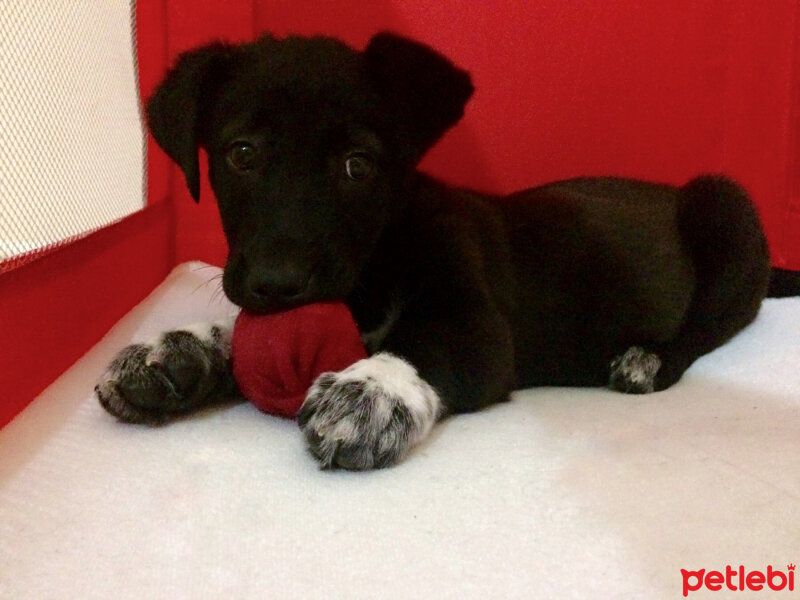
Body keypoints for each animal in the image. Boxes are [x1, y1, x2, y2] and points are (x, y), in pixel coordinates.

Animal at [97, 32, 772, 472]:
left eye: (357, 166)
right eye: (241, 154)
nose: (278, 283)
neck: (377, 261)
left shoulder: (478, 326)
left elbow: (420, 342)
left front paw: (372, 392)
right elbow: (237, 333)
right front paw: (177, 350)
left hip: (726, 211)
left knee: (709, 327)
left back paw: (646, 360)